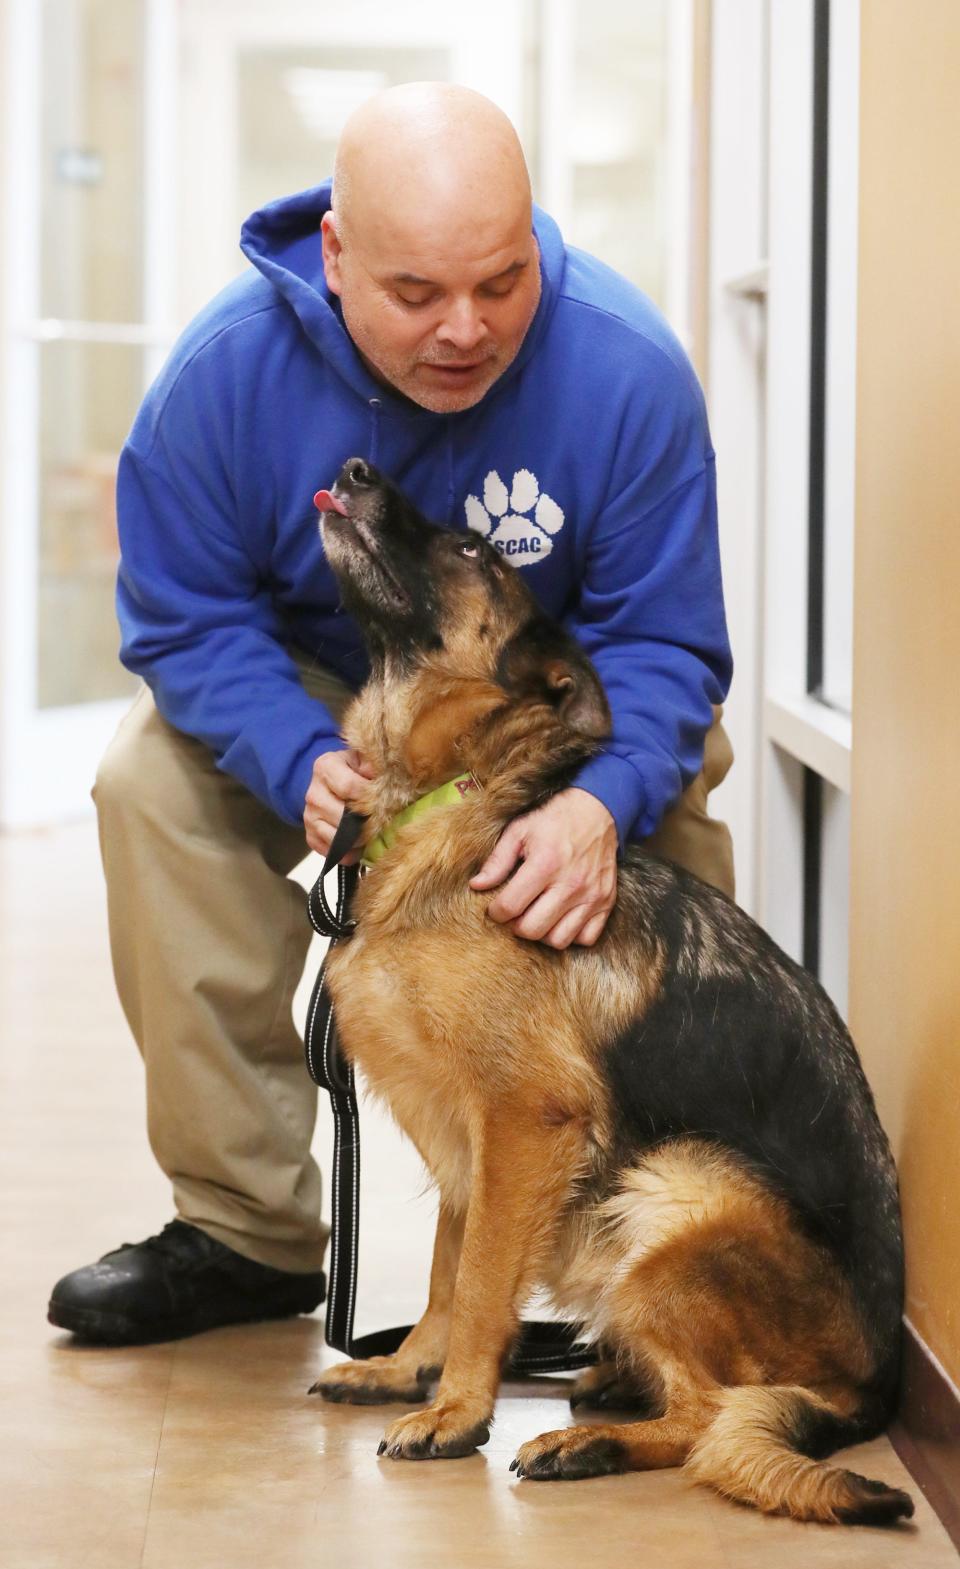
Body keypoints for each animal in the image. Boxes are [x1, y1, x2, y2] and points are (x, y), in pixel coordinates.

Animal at [310, 458, 909, 1531]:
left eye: (474, 548)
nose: (354, 469)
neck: (449, 797)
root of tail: (872, 1390)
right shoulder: (470, 1140)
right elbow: (450, 1269)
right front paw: (412, 1367)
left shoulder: (522, 1121)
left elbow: (481, 1281)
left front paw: (458, 1409)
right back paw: (611, 1381)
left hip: (674, 1193)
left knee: (711, 1418)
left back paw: (591, 1440)